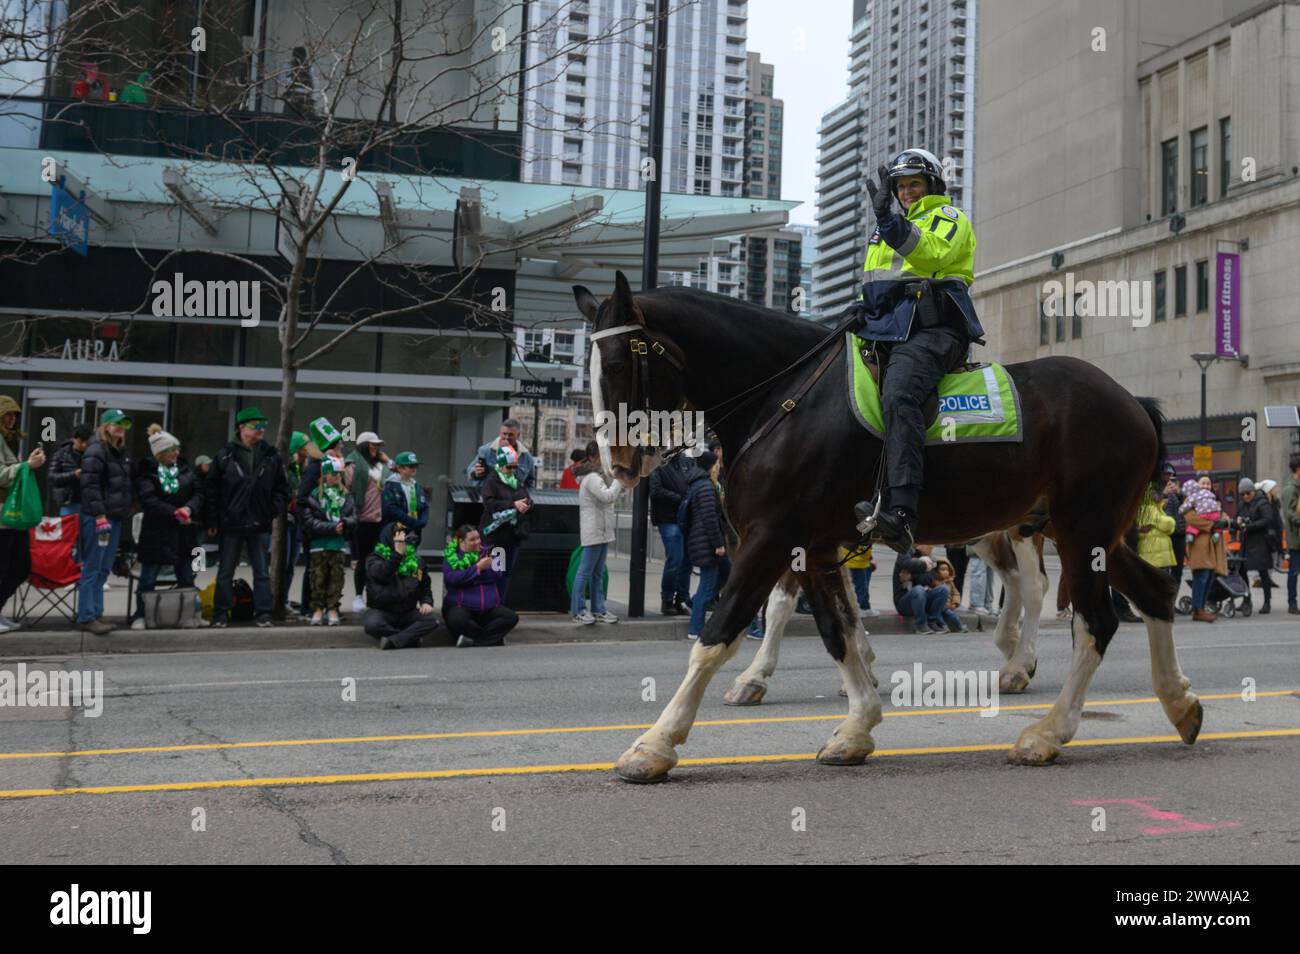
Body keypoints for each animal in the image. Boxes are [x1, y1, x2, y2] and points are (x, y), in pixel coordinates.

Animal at [574, 270, 1201, 785]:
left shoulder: (770, 539)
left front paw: (656, 743)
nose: (617, 466)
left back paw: (1045, 730)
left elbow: (717, 635)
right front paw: (856, 725)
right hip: (1088, 532)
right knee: (1151, 593)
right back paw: (1178, 703)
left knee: (1090, 618)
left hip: (1078, 529)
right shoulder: (812, 546)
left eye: (620, 364)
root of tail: (1130, 400)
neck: (784, 398)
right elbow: (836, 632)